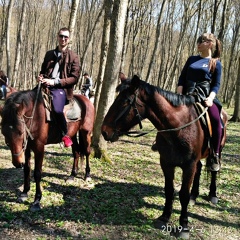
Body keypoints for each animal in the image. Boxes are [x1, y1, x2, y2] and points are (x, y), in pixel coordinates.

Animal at [101, 76, 227, 239]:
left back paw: (212, 194)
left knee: (214, 170)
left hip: (218, 150)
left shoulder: (189, 165)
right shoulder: (166, 163)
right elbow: (169, 190)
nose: (104, 131)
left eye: (125, 102)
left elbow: (183, 194)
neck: (178, 129)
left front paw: (184, 226)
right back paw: (194, 195)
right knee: (199, 170)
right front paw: (164, 217)